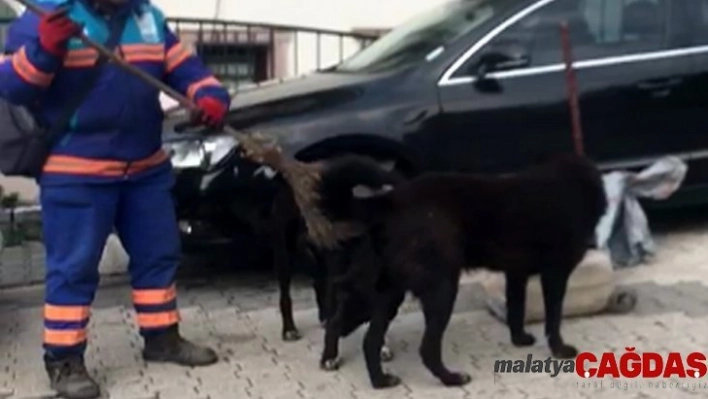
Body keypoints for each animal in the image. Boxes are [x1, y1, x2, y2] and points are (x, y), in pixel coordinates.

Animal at [316, 154, 608, 390]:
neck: (573, 185)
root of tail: (392, 202)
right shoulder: (555, 274)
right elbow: (553, 318)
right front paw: (560, 349)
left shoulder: (515, 274)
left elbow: (516, 309)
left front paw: (520, 339)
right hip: (442, 289)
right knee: (426, 348)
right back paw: (451, 379)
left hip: (384, 295)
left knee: (359, 335)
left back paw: (372, 377)